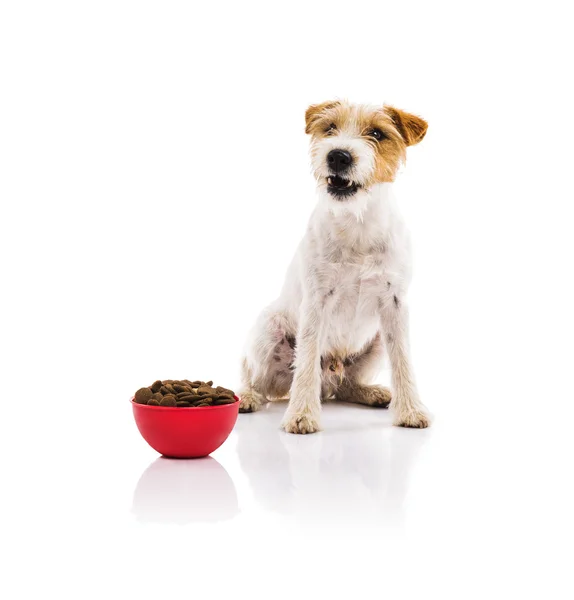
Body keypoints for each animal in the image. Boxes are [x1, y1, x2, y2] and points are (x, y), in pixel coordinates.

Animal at [238, 101, 432, 434]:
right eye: (329, 128)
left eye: (377, 133)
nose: (338, 156)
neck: (356, 222)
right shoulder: (316, 300)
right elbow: (306, 359)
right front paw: (301, 414)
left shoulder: (395, 304)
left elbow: (403, 360)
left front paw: (411, 410)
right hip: (268, 328)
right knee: (254, 376)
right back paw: (246, 397)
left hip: (376, 340)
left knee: (345, 386)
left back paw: (372, 392)